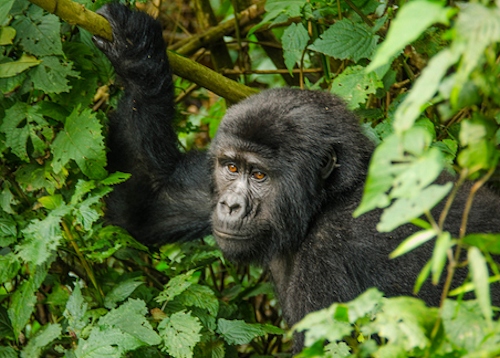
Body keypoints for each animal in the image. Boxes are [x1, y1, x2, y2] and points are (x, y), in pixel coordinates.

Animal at [94, 3, 500, 352]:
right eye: (231, 168)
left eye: (259, 175)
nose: (231, 205)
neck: (327, 200)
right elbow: (147, 200)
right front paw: (136, 55)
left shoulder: (329, 255)